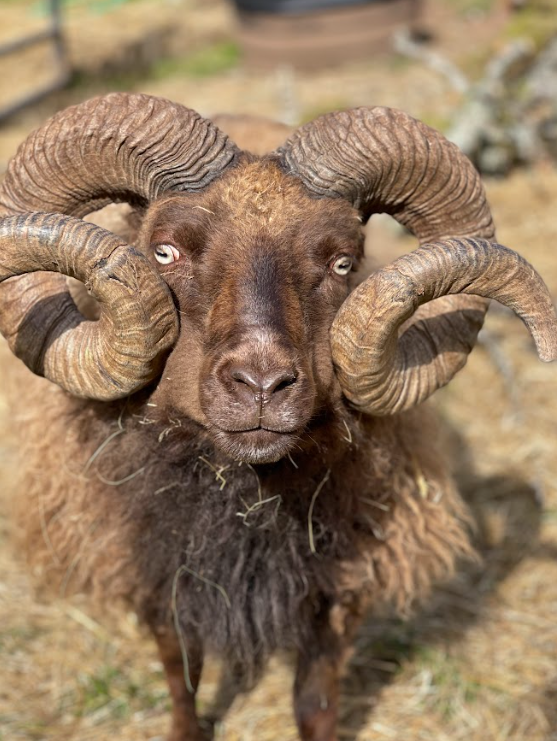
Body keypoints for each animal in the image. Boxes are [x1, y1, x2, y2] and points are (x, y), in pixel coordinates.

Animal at [0, 92, 555, 741]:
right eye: (164, 251)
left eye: (343, 262)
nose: (262, 386)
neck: (246, 501)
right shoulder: (158, 575)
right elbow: (181, 678)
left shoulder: (338, 589)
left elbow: (315, 703)